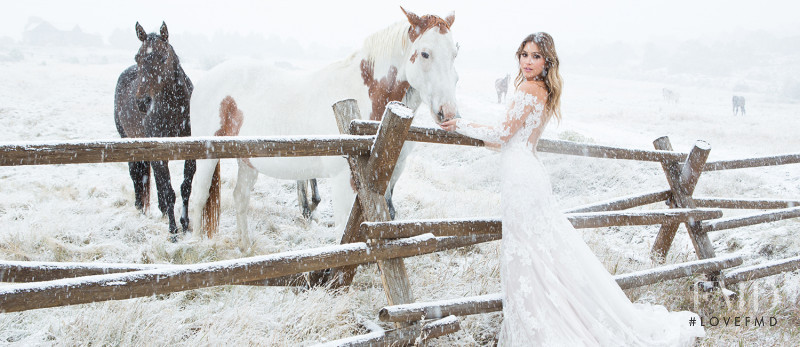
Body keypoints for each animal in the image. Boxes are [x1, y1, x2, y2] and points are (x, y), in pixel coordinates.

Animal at [114, 22, 195, 239]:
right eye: (138, 57)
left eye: (163, 57)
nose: (143, 102)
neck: (176, 110)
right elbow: (169, 191)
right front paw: (173, 231)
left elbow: (185, 187)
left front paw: (185, 225)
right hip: (128, 140)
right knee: (136, 173)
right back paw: (140, 208)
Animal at [188, 7, 460, 245]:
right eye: (425, 53)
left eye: (455, 54)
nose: (449, 114)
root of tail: (206, 78)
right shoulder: (342, 181)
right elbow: (344, 230)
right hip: (207, 155)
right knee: (199, 196)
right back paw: (197, 246)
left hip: (248, 160)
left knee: (240, 198)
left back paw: (246, 247)